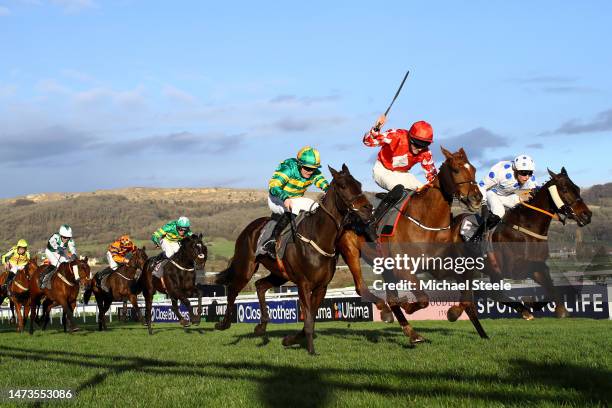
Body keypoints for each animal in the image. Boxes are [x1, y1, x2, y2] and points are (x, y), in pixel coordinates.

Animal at [210, 164, 372, 356]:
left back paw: (261, 326)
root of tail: (249, 228)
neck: (317, 237)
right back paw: (223, 323)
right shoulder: (303, 284)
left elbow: (311, 318)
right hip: (246, 267)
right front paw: (311, 350)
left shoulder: (321, 287)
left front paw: (290, 340)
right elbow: (308, 318)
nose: (368, 209)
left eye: (359, 184)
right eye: (343, 186)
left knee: (260, 285)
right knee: (233, 290)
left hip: (280, 273)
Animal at [338, 147, 486, 344]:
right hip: (351, 252)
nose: (476, 197)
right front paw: (408, 305)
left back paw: (411, 332)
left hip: (385, 266)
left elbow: (466, 296)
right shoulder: (404, 269)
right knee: (364, 288)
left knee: (391, 299)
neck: (426, 221)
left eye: (474, 169)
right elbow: (423, 299)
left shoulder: (441, 267)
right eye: (456, 170)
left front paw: (453, 312)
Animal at [452, 167, 592, 320]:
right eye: (565, 190)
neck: (527, 229)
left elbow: (550, 286)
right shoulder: (515, 269)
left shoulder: (537, 267)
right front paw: (531, 304)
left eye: (577, 188)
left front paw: (558, 309)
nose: (587, 215)